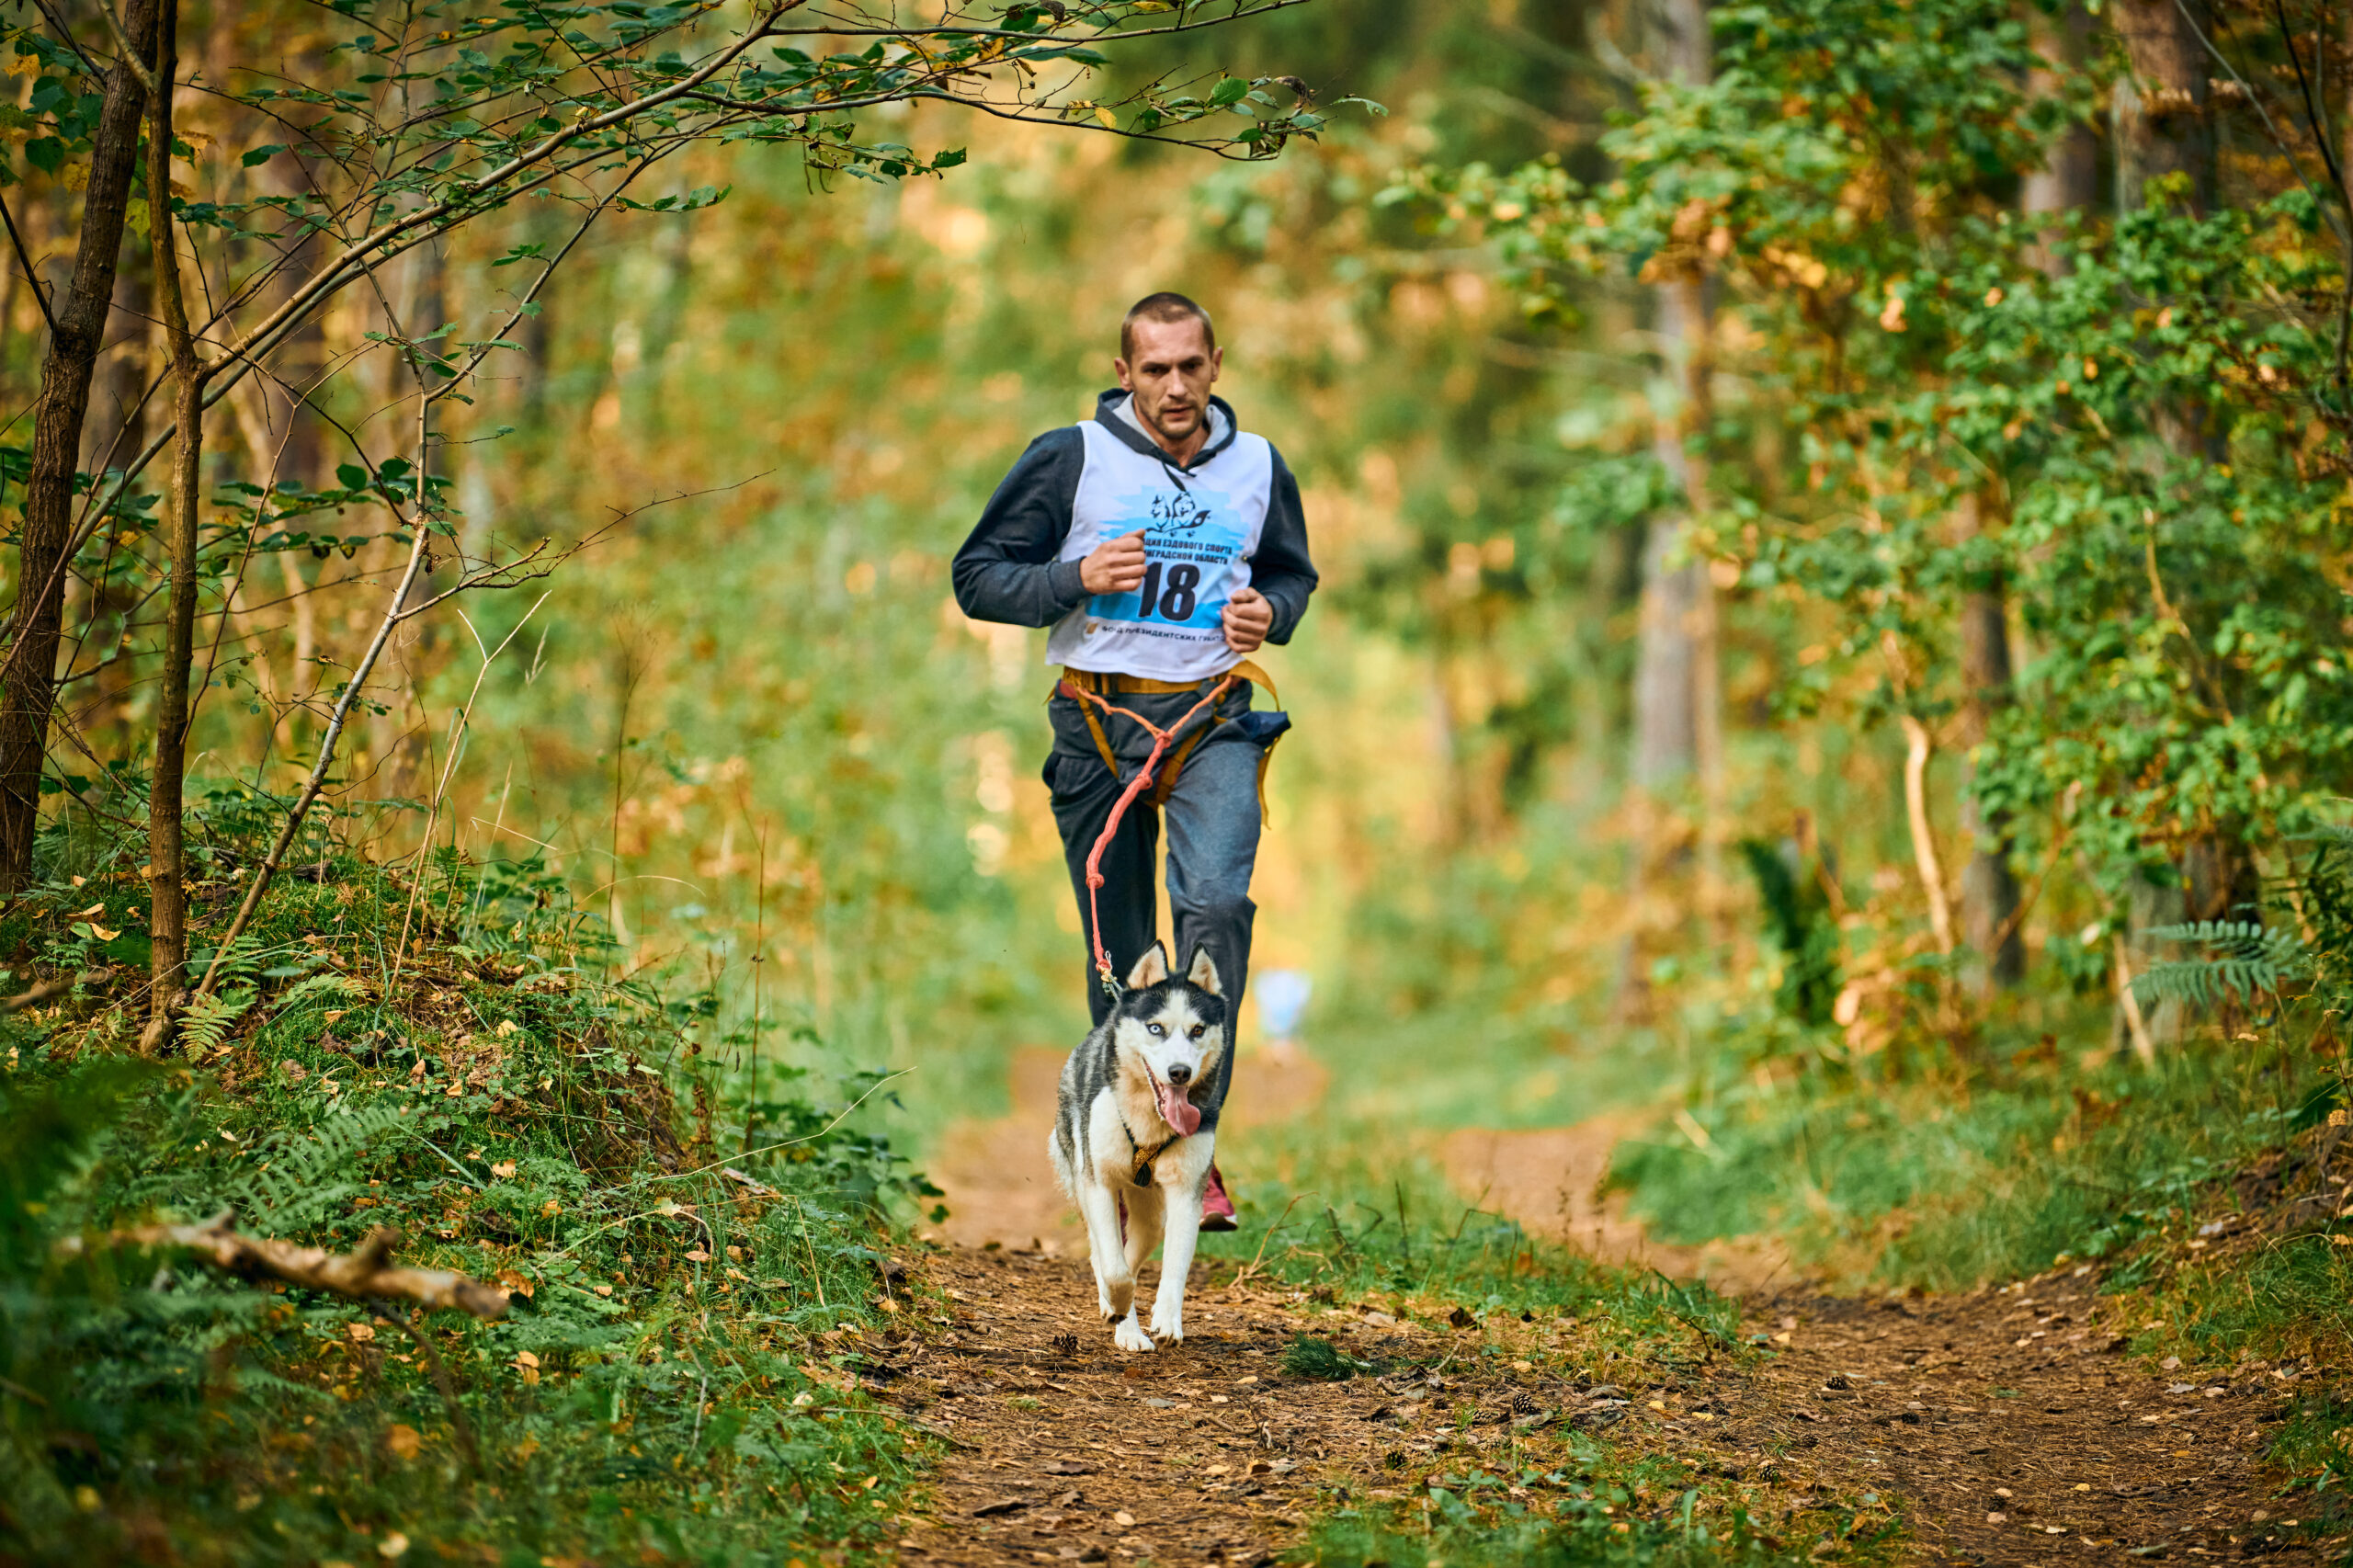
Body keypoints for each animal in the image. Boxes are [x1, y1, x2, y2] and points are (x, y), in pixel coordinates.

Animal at [1053, 932, 1233, 1346]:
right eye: (1155, 1028)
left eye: (1197, 1030)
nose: (1180, 1072)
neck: (1150, 1122)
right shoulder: (1099, 1183)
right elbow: (1114, 1268)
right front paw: (1118, 1305)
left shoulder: (1186, 1192)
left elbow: (1173, 1265)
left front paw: (1166, 1319)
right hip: (1082, 1175)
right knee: (1105, 1254)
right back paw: (1121, 1318)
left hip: (1151, 1209)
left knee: (1136, 1247)